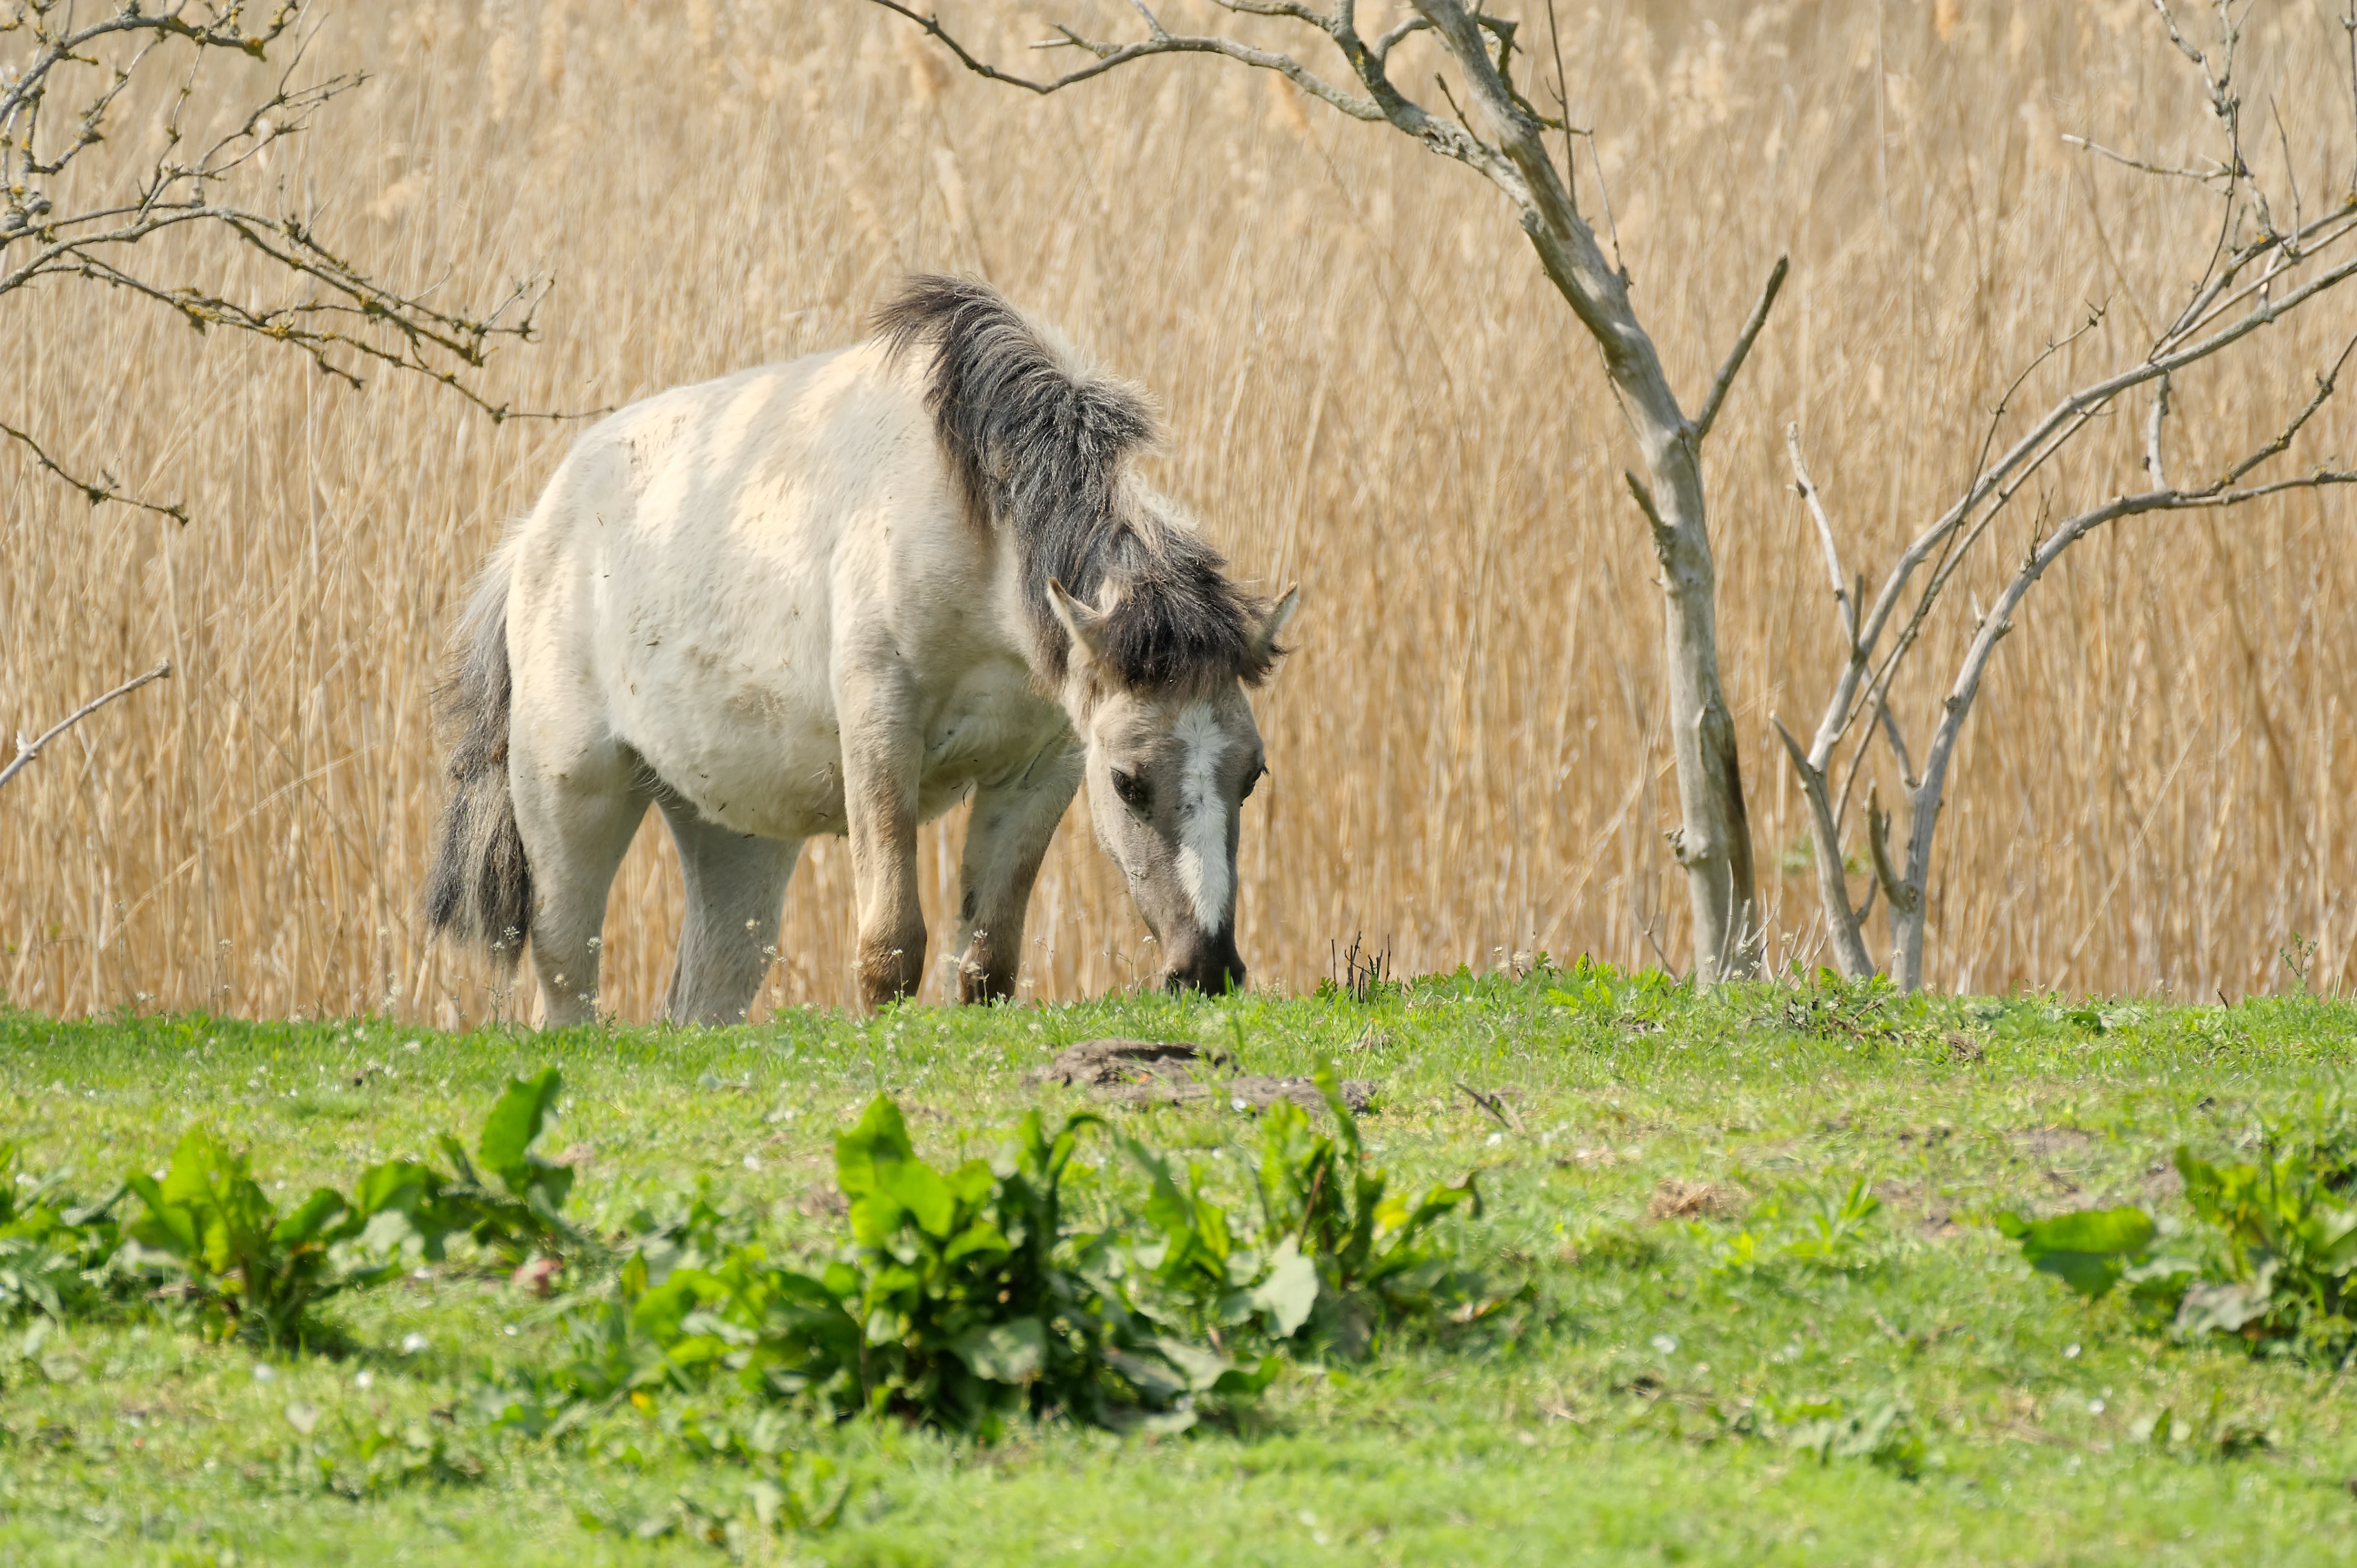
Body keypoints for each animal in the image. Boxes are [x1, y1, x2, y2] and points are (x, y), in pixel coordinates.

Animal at [422, 276, 1299, 1026]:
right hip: (570, 803)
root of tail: (533, 535)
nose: (1207, 969)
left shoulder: (1039, 770)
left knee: (703, 999)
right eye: (1126, 783)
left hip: (733, 839)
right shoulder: (882, 736)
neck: (975, 525)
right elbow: (891, 948)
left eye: (1252, 776)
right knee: (566, 986)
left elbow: (986, 963)